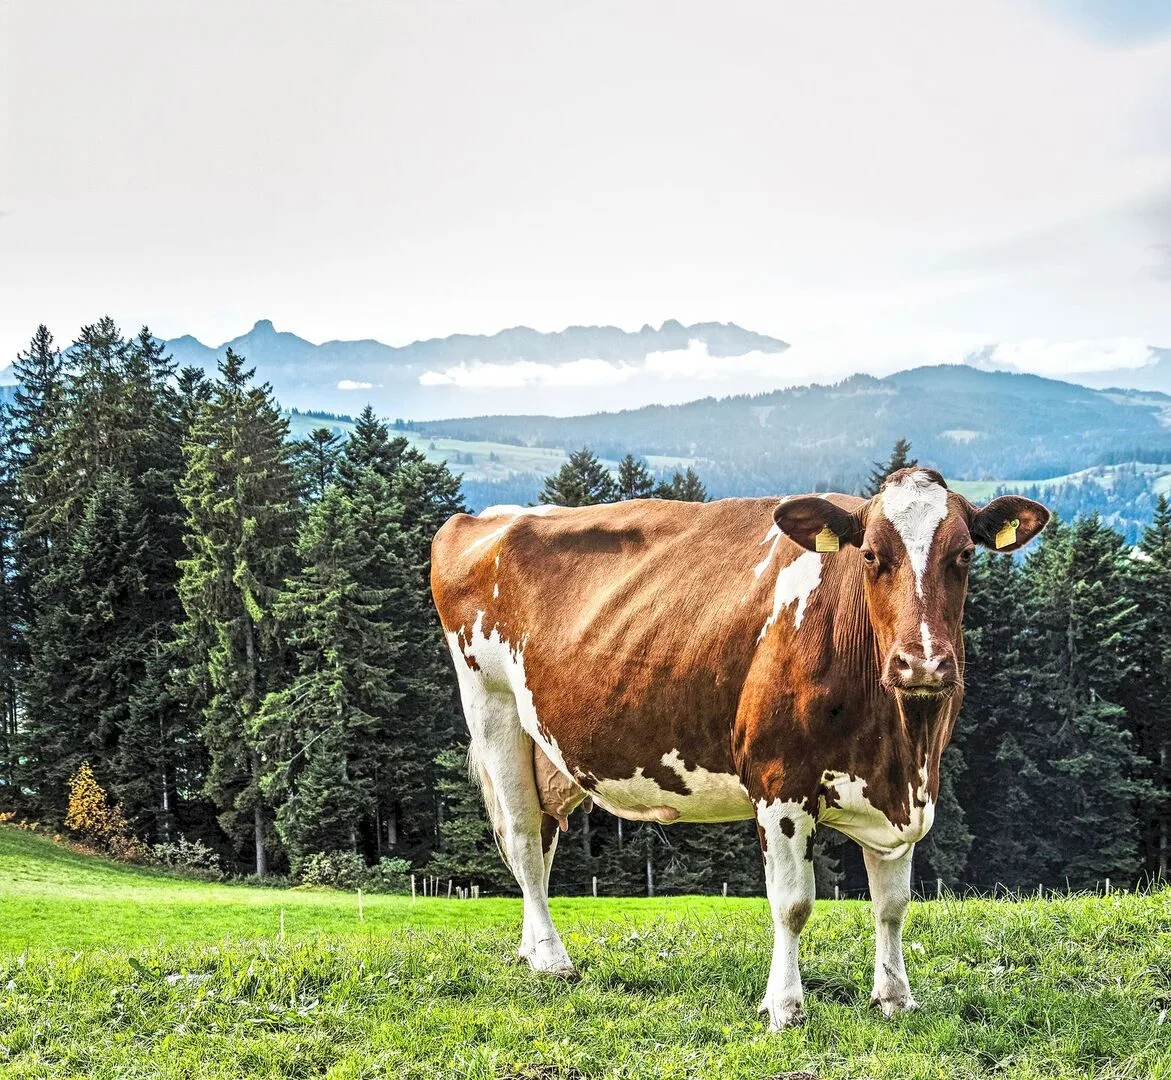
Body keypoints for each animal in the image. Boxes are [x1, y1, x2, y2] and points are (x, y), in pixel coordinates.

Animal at [430, 469, 1049, 1028]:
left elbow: (892, 905)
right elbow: (793, 903)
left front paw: (895, 998)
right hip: (493, 711)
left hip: (550, 754)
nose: (922, 663)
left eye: (963, 555)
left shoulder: (906, 791)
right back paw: (553, 962)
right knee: (523, 840)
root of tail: (486, 518)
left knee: (543, 838)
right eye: (871, 555)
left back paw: (530, 950)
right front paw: (784, 1006)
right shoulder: (780, 784)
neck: (901, 744)